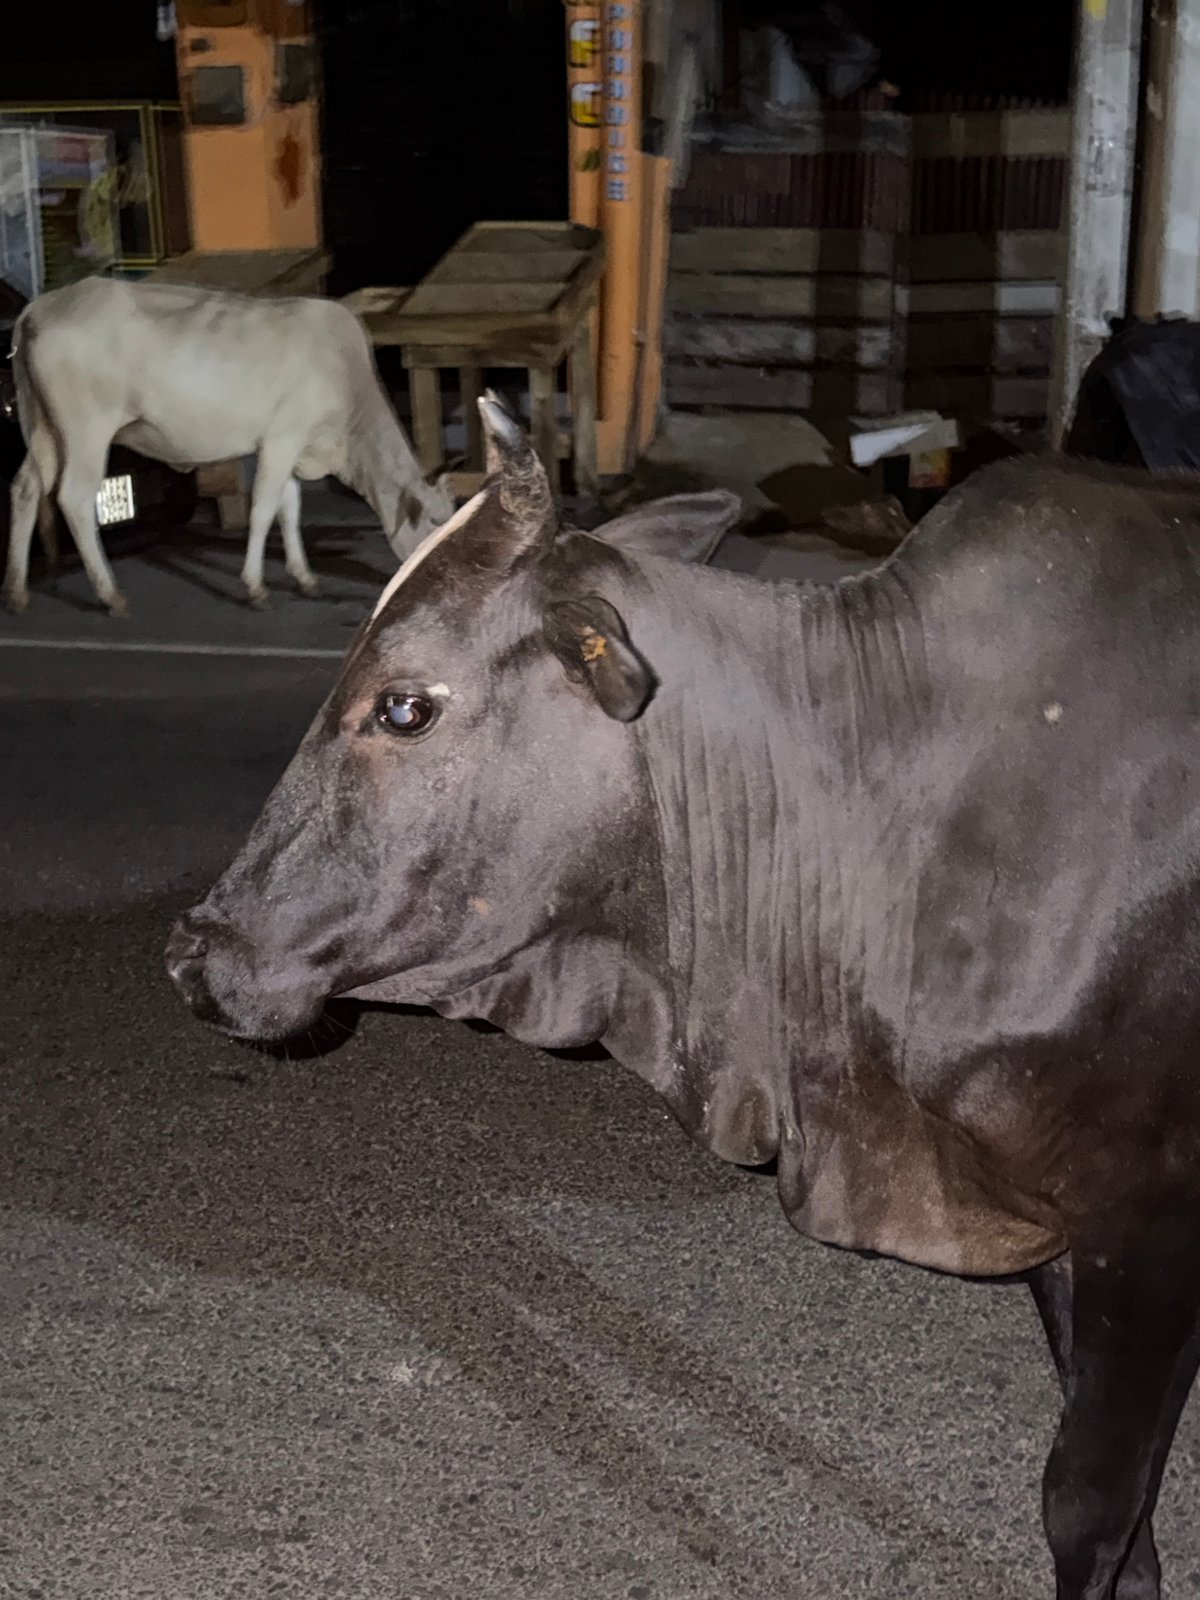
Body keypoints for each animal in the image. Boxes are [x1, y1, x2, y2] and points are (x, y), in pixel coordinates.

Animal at [2, 276, 454, 616]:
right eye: (434, 523)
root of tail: (42, 305)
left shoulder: (292, 448)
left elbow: (289, 509)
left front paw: (304, 577)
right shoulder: (282, 437)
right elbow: (264, 510)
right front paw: (255, 587)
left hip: (45, 428)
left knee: (26, 488)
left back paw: (18, 590)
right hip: (86, 428)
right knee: (74, 498)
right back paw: (110, 594)